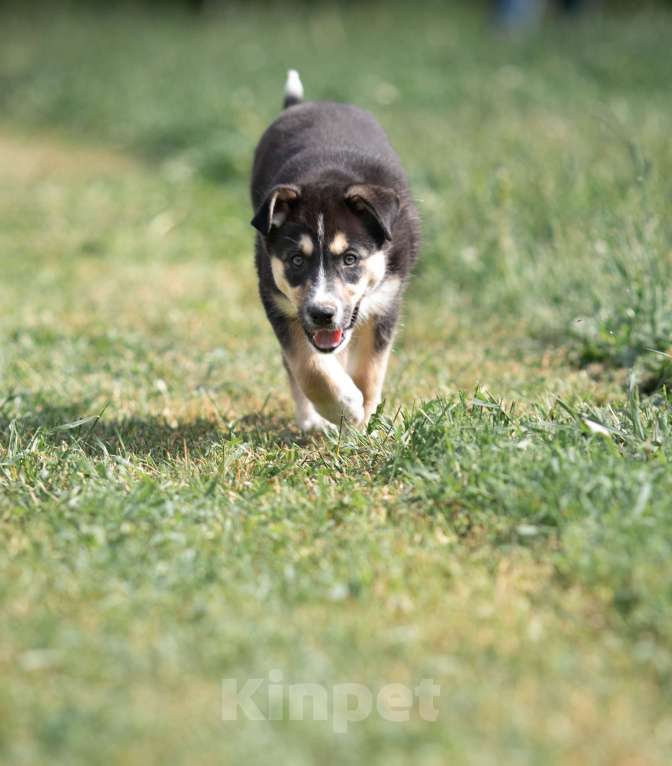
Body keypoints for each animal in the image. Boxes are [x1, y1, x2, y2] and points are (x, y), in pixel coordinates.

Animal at [252, 71, 420, 432]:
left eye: (350, 258)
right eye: (296, 260)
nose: (322, 313)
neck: (328, 174)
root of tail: (308, 104)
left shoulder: (387, 300)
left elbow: (370, 369)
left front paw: (362, 418)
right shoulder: (277, 302)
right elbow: (308, 367)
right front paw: (344, 408)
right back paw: (312, 421)